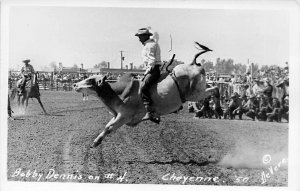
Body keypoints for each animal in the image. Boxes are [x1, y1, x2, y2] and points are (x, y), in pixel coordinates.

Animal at [74, 42, 219, 148]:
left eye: (90, 80)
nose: (75, 85)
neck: (120, 94)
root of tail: (193, 63)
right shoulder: (117, 115)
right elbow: (106, 126)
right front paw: (96, 141)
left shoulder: (124, 116)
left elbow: (109, 127)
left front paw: (96, 142)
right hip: (200, 90)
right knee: (214, 89)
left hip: (195, 94)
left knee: (215, 89)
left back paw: (215, 109)